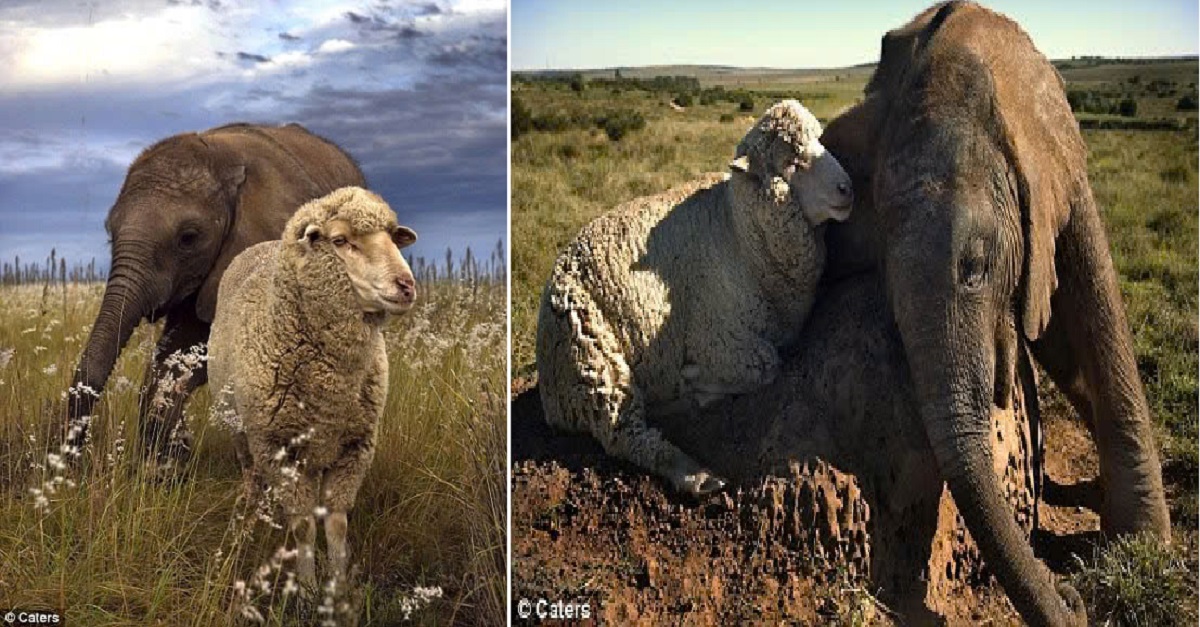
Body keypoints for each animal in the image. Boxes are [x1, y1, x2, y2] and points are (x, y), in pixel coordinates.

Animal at [211, 184, 422, 590]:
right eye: (340, 241)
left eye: (392, 238)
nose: (406, 285)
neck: (331, 383)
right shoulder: (277, 448)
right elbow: (304, 525)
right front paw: (307, 589)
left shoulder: (354, 447)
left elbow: (336, 524)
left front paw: (337, 586)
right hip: (240, 426)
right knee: (249, 471)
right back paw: (249, 511)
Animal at [535, 100, 854, 494]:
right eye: (791, 161)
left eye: (820, 140)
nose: (847, 188)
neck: (739, 232)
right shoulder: (717, 338)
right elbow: (767, 363)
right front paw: (696, 379)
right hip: (592, 358)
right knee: (625, 435)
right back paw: (696, 470)